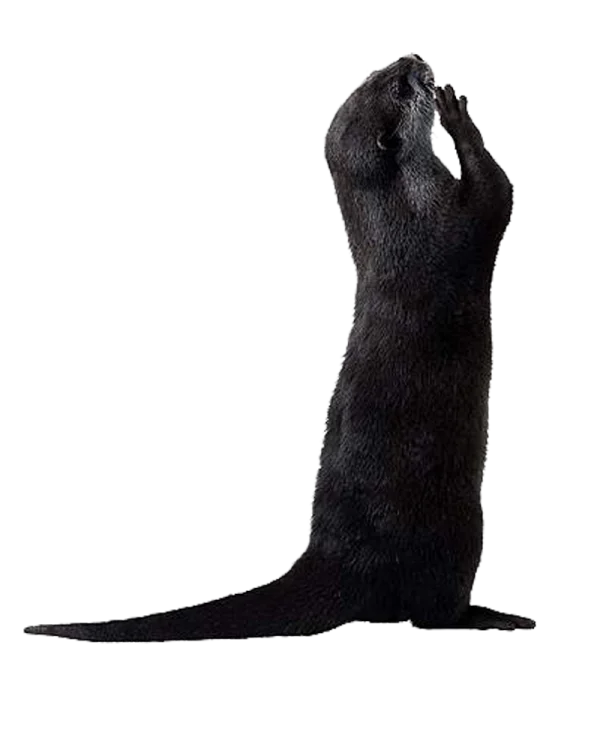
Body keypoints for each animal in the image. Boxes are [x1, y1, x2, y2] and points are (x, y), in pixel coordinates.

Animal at [20, 53, 537, 642]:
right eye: (398, 88)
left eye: (378, 73)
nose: (413, 60)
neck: (405, 216)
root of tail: (334, 560)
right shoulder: (460, 225)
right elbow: (498, 191)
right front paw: (456, 110)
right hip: (459, 531)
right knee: (429, 612)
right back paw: (491, 616)